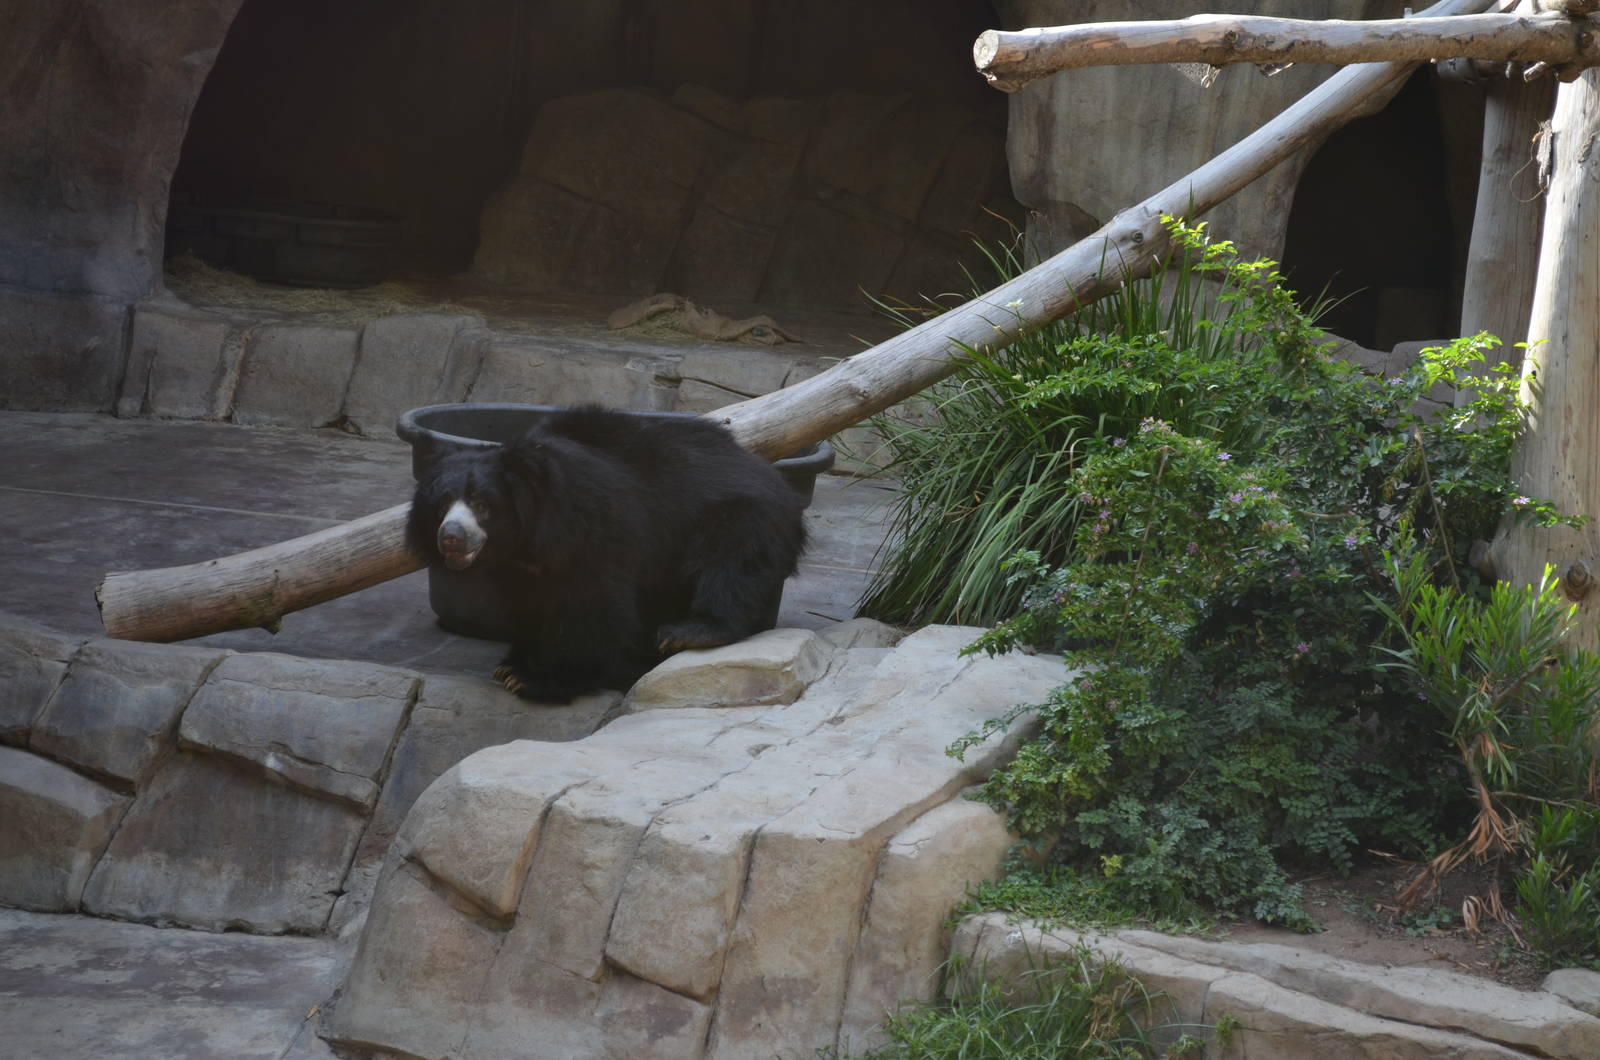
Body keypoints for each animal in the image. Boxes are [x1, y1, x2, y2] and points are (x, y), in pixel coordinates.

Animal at [406, 405, 808, 703]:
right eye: (440, 506)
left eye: (482, 504)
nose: (451, 538)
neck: (526, 539)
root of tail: (773, 476)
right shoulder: (519, 567)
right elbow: (528, 604)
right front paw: (513, 665)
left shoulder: (591, 529)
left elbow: (592, 604)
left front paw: (539, 679)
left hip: (741, 514)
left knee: (732, 562)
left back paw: (692, 631)